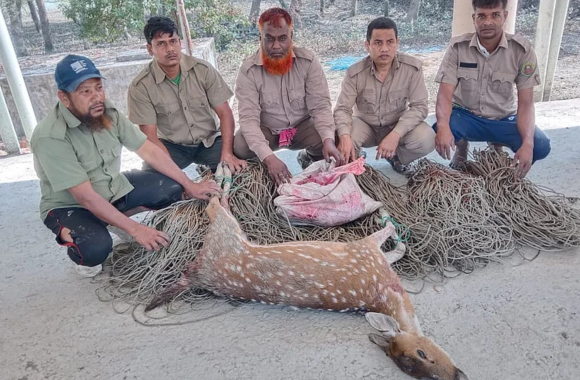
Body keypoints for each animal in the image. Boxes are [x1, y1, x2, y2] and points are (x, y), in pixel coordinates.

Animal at [147, 196, 468, 380]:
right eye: (422, 354)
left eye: (426, 376)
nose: (459, 376)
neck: (386, 293)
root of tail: (198, 276)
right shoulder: (365, 251)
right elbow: (391, 238)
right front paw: (382, 212)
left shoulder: (376, 260)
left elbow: (398, 250)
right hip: (226, 233)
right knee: (216, 207)